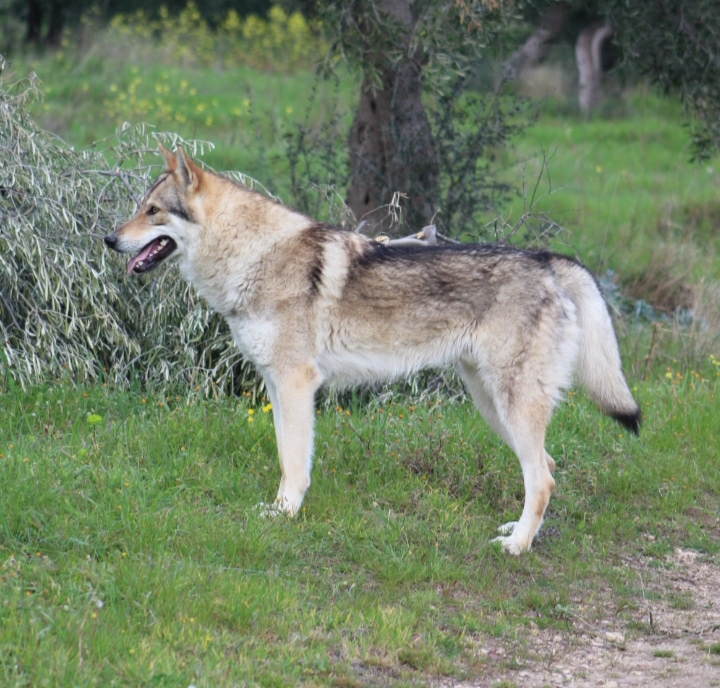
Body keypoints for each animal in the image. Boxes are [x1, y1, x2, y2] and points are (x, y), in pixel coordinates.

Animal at [104, 145, 640, 555]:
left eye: (153, 211)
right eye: (139, 207)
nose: (109, 239)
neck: (253, 256)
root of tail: (547, 260)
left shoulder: (297, 383)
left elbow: (293, 463)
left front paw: (285, 515)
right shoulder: (277, 386)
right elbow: (286, 455)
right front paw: (279, 509)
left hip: (510, 404)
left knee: (543, 478)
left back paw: (516, 547)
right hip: (492, 406)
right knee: (548, 468)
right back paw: (518, 531)